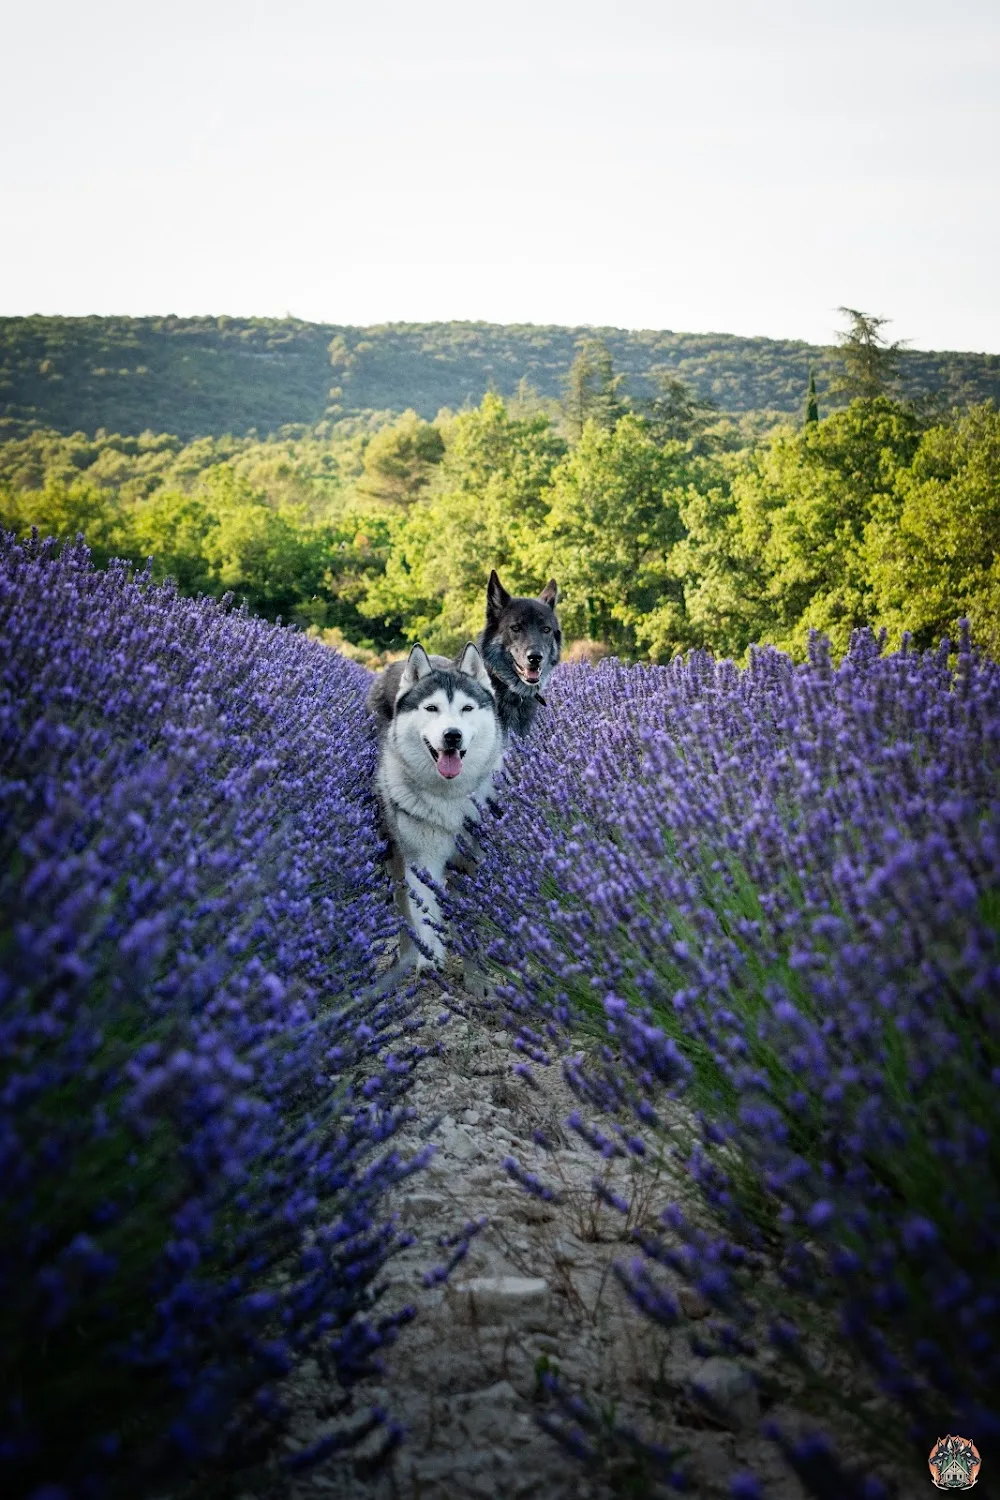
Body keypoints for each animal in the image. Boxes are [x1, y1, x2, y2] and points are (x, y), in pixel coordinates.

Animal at [367, 641, 504, 972]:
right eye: (432, 709)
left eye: (467, 709)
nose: (452, 735)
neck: (449, 796)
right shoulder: (422, 860)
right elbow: (425, 913)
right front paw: (430, 960)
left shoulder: (476, 859)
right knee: (402, 904)